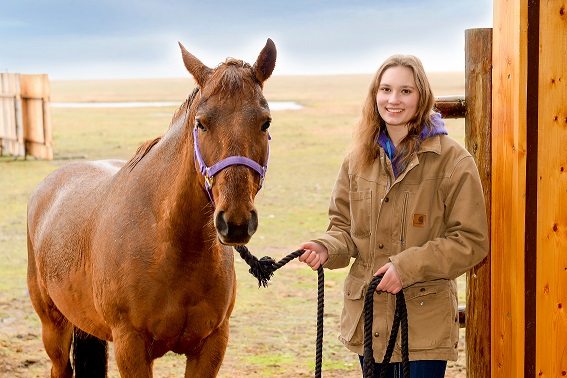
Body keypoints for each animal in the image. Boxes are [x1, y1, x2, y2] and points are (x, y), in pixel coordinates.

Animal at [25, 37, 278, 376]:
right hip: (54, 328)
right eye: (201, 123)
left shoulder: (212, 345)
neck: (172, 245)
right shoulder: (131, 346)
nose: (236, 221)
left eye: (265, 122)